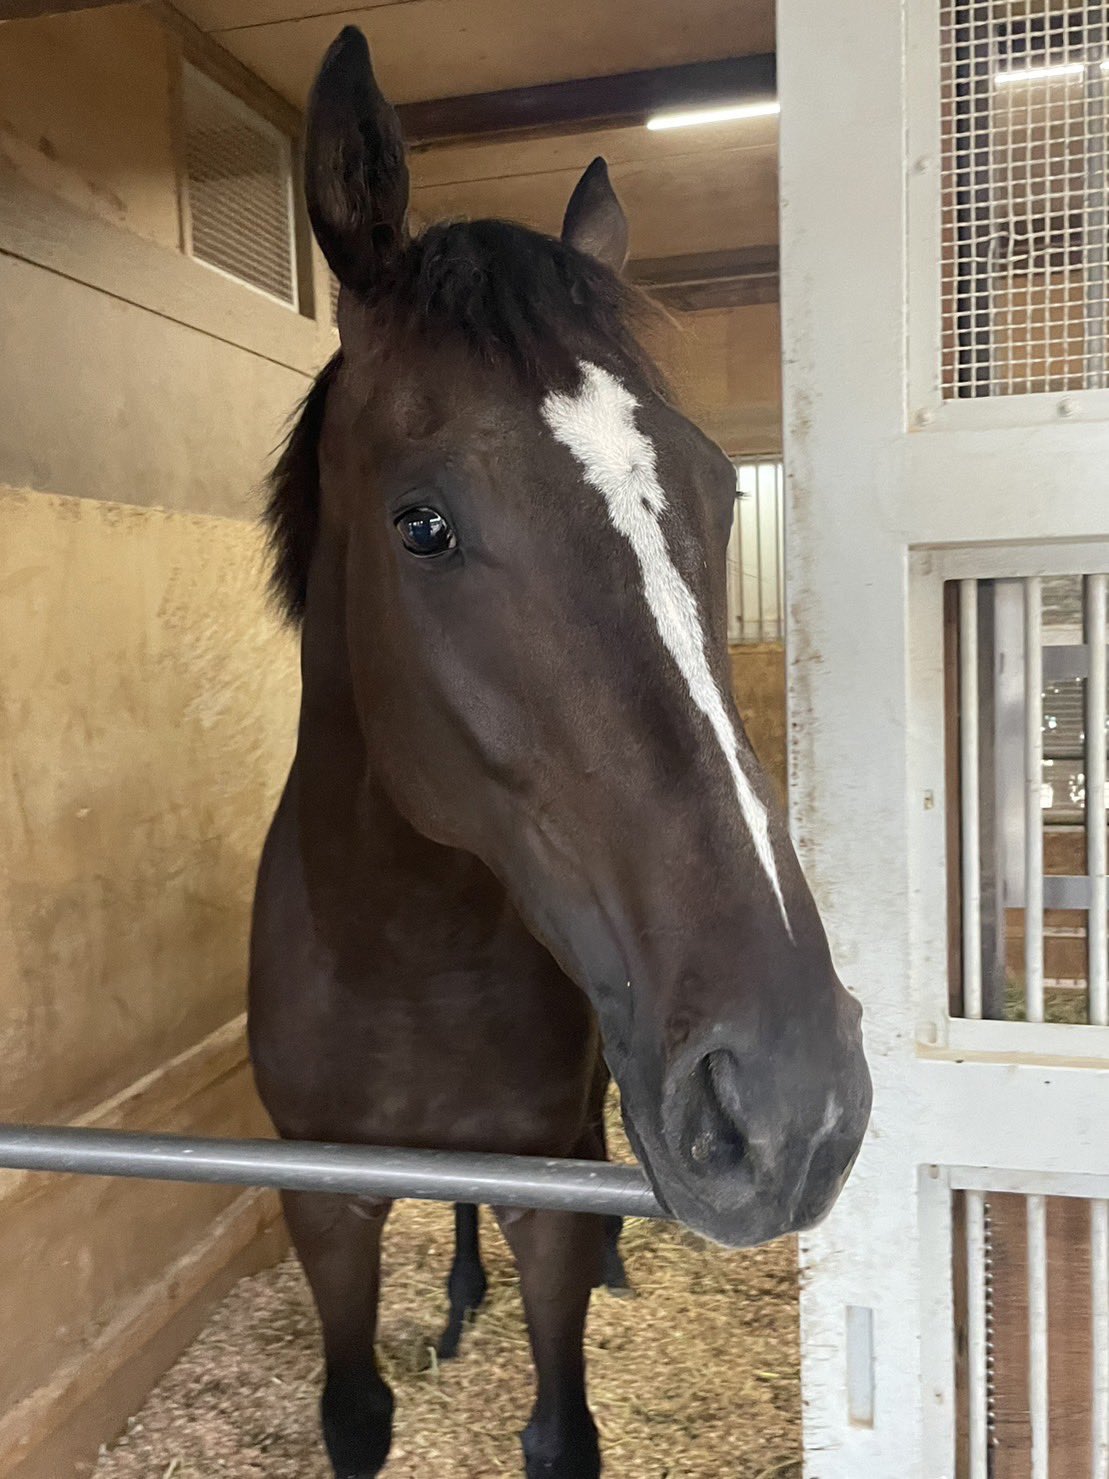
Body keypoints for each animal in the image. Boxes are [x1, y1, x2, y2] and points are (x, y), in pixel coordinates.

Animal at [248, 27, 872, 1479]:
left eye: (717, 492)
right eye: (421, 524)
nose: (792, 1099)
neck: (398, 954)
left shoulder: (536, 1185)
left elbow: (561, 1420)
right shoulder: (321, 1207)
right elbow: (354, 1411)